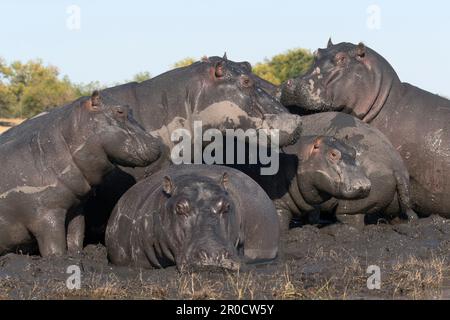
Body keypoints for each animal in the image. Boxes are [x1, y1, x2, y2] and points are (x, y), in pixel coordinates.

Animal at [0, 91, 162, 256]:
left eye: (130, 109)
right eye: (120, 111)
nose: (158, 142)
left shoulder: (76, 208)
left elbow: (76, 234)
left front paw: (77, 255)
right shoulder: (46, 215)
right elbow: (55, 244)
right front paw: (57, 258)